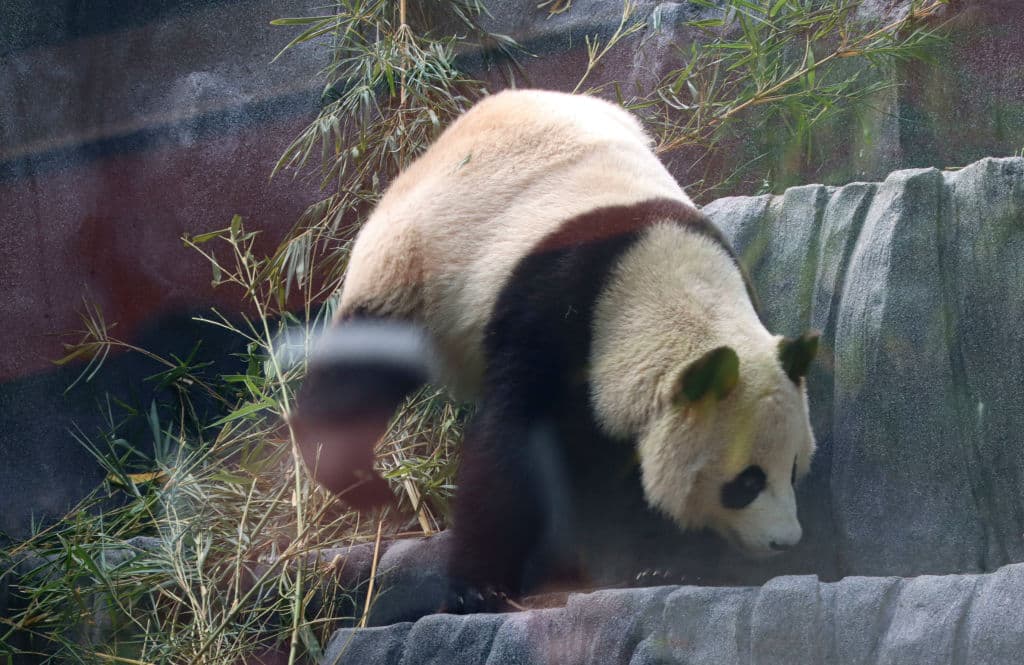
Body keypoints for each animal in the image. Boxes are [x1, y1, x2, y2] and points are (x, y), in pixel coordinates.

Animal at [292, 89, 819, 610]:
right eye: (746, 482)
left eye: (794, 469)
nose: (785, 541)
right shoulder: (550, 309)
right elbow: (510, 446)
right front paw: (479, 586)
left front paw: (662, 562)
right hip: (413, 259)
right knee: (367, 362)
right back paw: (355, 477)